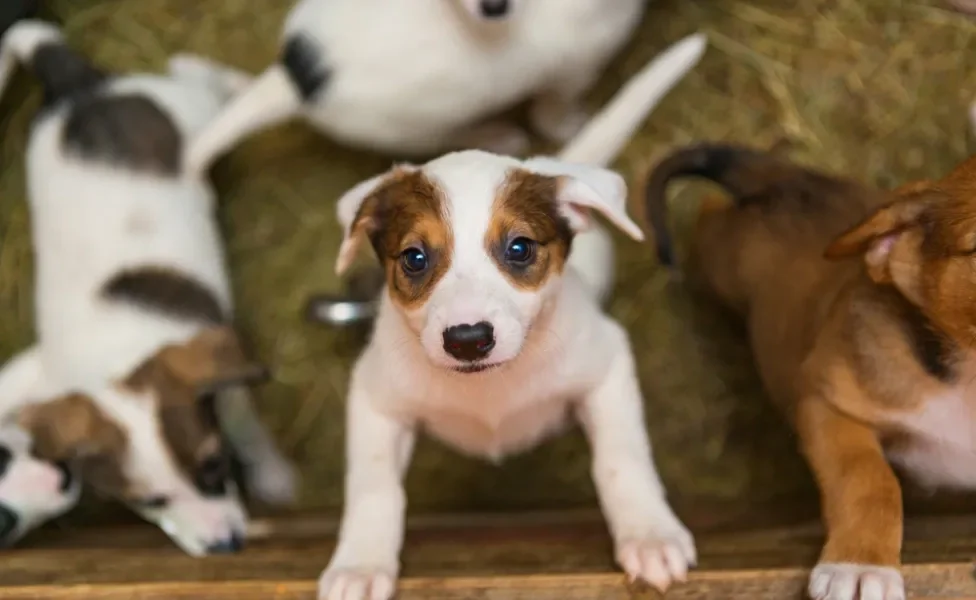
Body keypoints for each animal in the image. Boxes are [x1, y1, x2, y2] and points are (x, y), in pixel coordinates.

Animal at [0, 17, 298, 552]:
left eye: (214, 467)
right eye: (150, 502)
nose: (225, 546)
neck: (116, 356)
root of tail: (82, 89)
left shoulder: (226, 388)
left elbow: (248, 429)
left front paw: (274, 476)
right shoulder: (42, 371)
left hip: (188, 108)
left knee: (195, 73)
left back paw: (243, 85)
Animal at [183, 0, 652, 176]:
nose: (494, 9)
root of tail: (297, 83)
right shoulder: (573, 70)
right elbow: (553, 114)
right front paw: (573, 124)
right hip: (420, 128)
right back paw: (499, 134)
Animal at [320, 31, 708, 600]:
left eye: (520, 248)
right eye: (414, 258)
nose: (467, 339)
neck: (489, 389)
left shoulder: (608, 364)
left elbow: (622, 458)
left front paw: (649, 532)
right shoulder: (374, 396)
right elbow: (374, 486)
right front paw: (361, 564)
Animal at [644, 145, 976, 600]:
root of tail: (789, 178)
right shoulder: (826, 400)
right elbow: (869, 479)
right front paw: (860, 564)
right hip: (722, 257)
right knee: (707, 214)